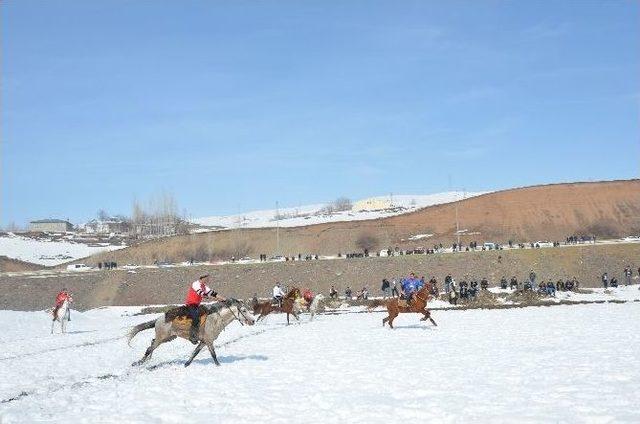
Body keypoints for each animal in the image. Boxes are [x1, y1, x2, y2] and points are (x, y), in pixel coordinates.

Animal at [127, 298, 255, 368]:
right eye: (244, 310)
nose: (253, 321)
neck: (215, 319)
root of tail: (158, 319)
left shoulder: (203, 342)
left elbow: (195, 353)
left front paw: (186, 364)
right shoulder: (209, 341)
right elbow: (213, 354)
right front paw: (218, 366)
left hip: (169, 338)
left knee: (151, 344)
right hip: (162, 337)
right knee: (150, 348)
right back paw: (138, 362)